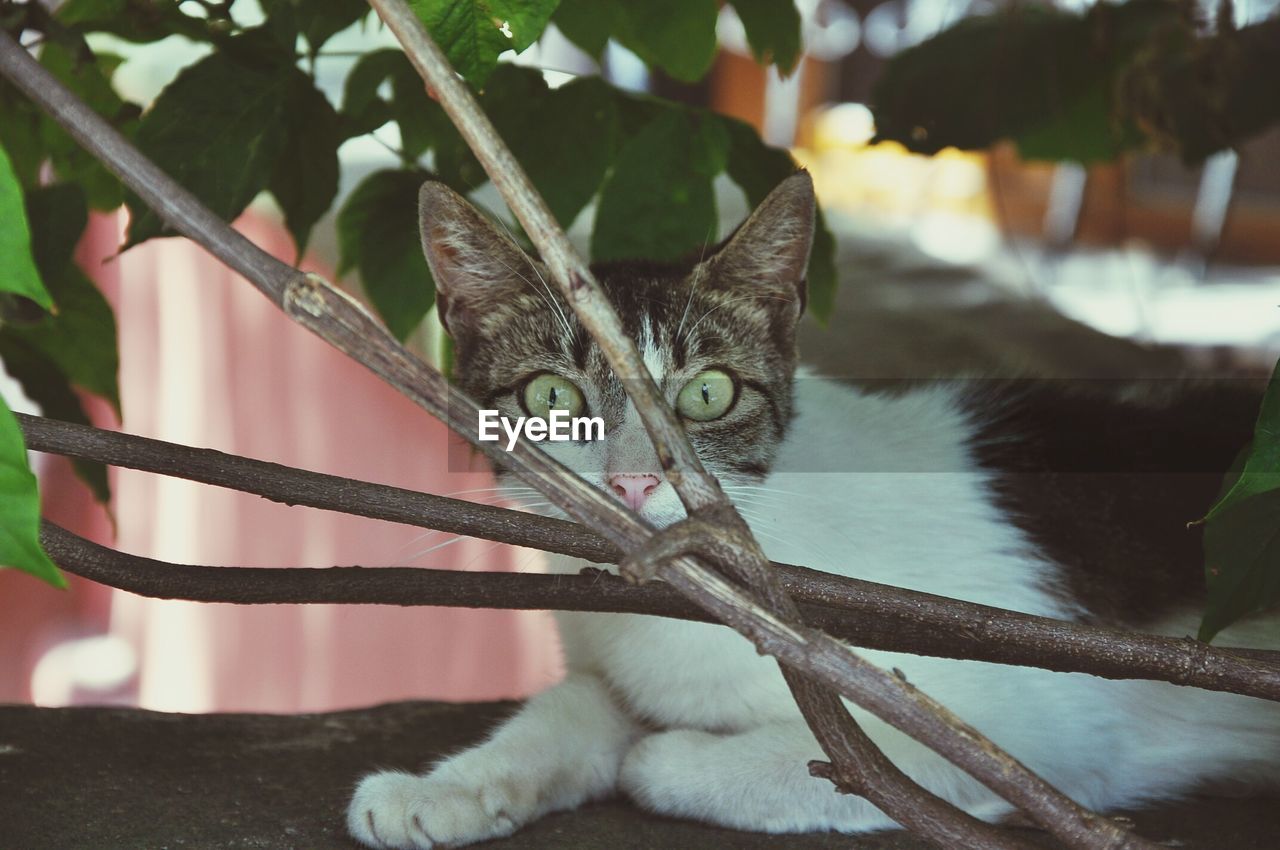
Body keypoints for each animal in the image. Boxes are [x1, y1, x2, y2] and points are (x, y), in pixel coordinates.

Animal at [345, 168, 1280, 844]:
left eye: (709, 394)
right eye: (550, 395)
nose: (633, 483)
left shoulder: (1042, 737)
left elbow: (799, 767)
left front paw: (668, 752)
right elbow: (569, 706)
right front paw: (446, 788)